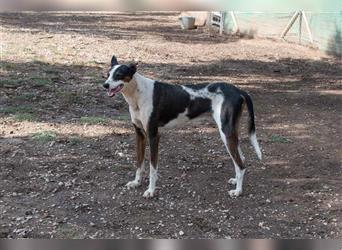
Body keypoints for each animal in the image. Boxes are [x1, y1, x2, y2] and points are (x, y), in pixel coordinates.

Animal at [102, 55, 262, 198]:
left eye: (119, 75)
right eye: (108, 74)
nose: (105, 85)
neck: (138, 94)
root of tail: (238, 90)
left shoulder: (154, 136)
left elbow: (153, 168)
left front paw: (151, 191)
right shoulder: (140, 134)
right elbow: (139, 162)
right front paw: (136, 182)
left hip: (226, 132)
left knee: (241, 164)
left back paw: (238, 191)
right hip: (230, 132)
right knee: (241, 158)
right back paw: (236, 181)